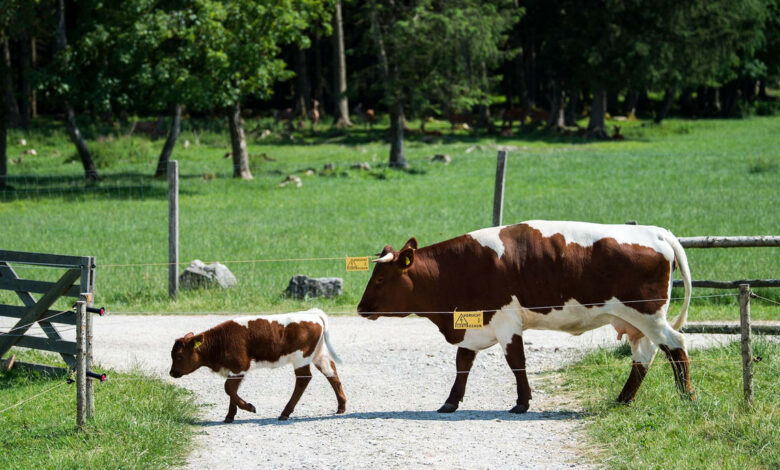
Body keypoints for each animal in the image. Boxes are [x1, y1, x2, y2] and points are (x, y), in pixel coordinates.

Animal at [169, 308, 346, 422]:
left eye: (179, 356)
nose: (172, 373)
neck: (221, 341)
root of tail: (313, 313)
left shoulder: (240, 365)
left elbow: (229, 388)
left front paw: (249, 407)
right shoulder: (234, 369)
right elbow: (232, 390)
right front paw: (230, 416)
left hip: (301, 358)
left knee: (304, 379)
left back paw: (285, 412)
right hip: (318, 355)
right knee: (331, 372)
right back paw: (341, 406)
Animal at [356, 219, 692, 412]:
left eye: (381, 279)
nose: (361, 308)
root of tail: (657, 232)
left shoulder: (506, 321)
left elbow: (516, 363)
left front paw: (521, 403)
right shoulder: (472, 324)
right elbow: (462, 363)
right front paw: (450, 402)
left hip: (648, 315)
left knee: (675, 345)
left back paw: (687, 396)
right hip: (637, 322)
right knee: (644, 357)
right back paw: (624, 399)